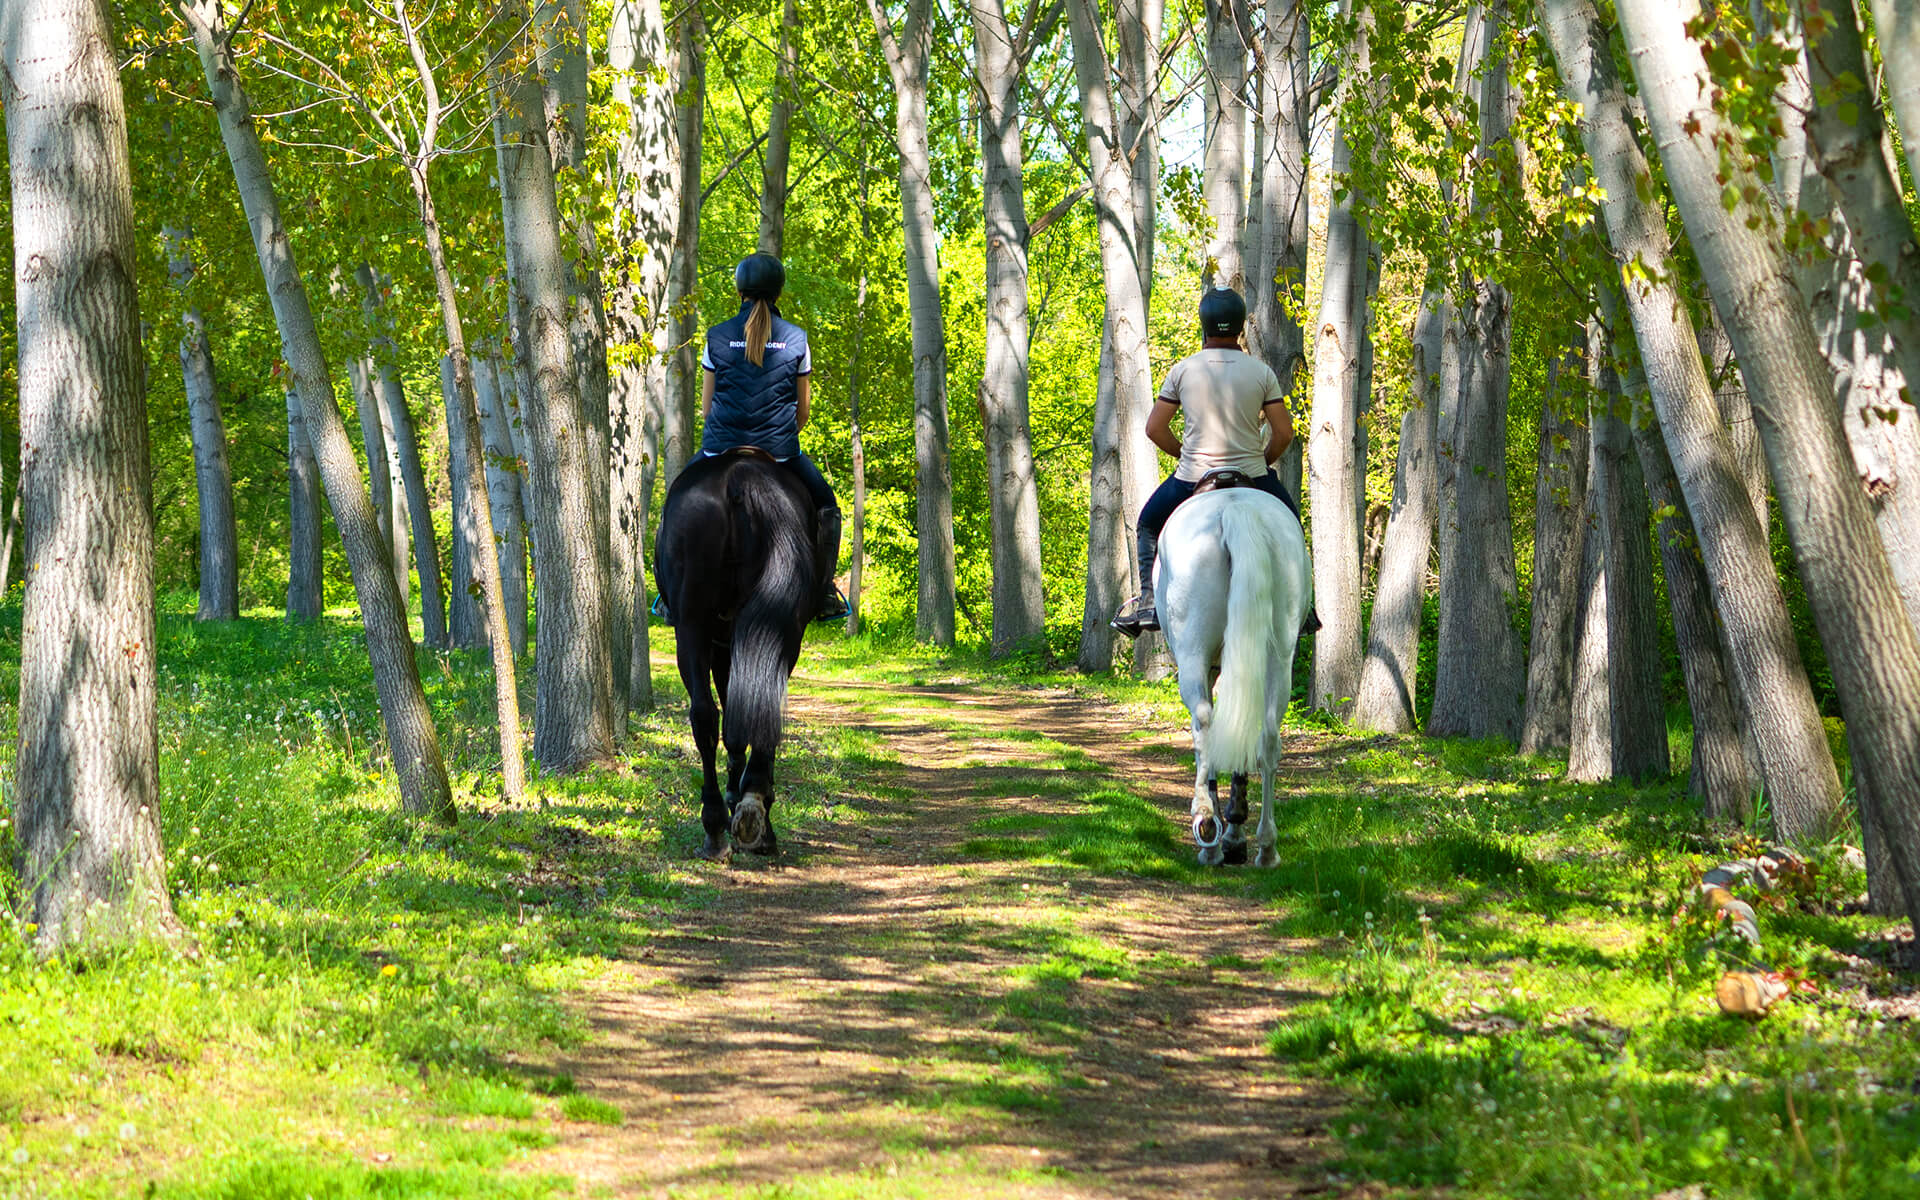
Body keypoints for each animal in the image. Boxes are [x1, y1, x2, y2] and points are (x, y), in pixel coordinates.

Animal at [652, 447, 825, 852]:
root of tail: (740, 474)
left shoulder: (720, 644)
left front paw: (736, 798)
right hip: (776, 632)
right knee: (754, 707)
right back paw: (751, 810)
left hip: (693, 626)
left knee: (704, 715)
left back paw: (717, 823)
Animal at [1152, 481, 1305, 864]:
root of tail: (1235, 508)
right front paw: (1235, 832)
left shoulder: (1208, 665)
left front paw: (1224, 832)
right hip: (1279, 654)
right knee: (1267, 736)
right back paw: (1266, 847)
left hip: (1192, 653)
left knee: (1205, 725)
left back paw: (1207, 829)